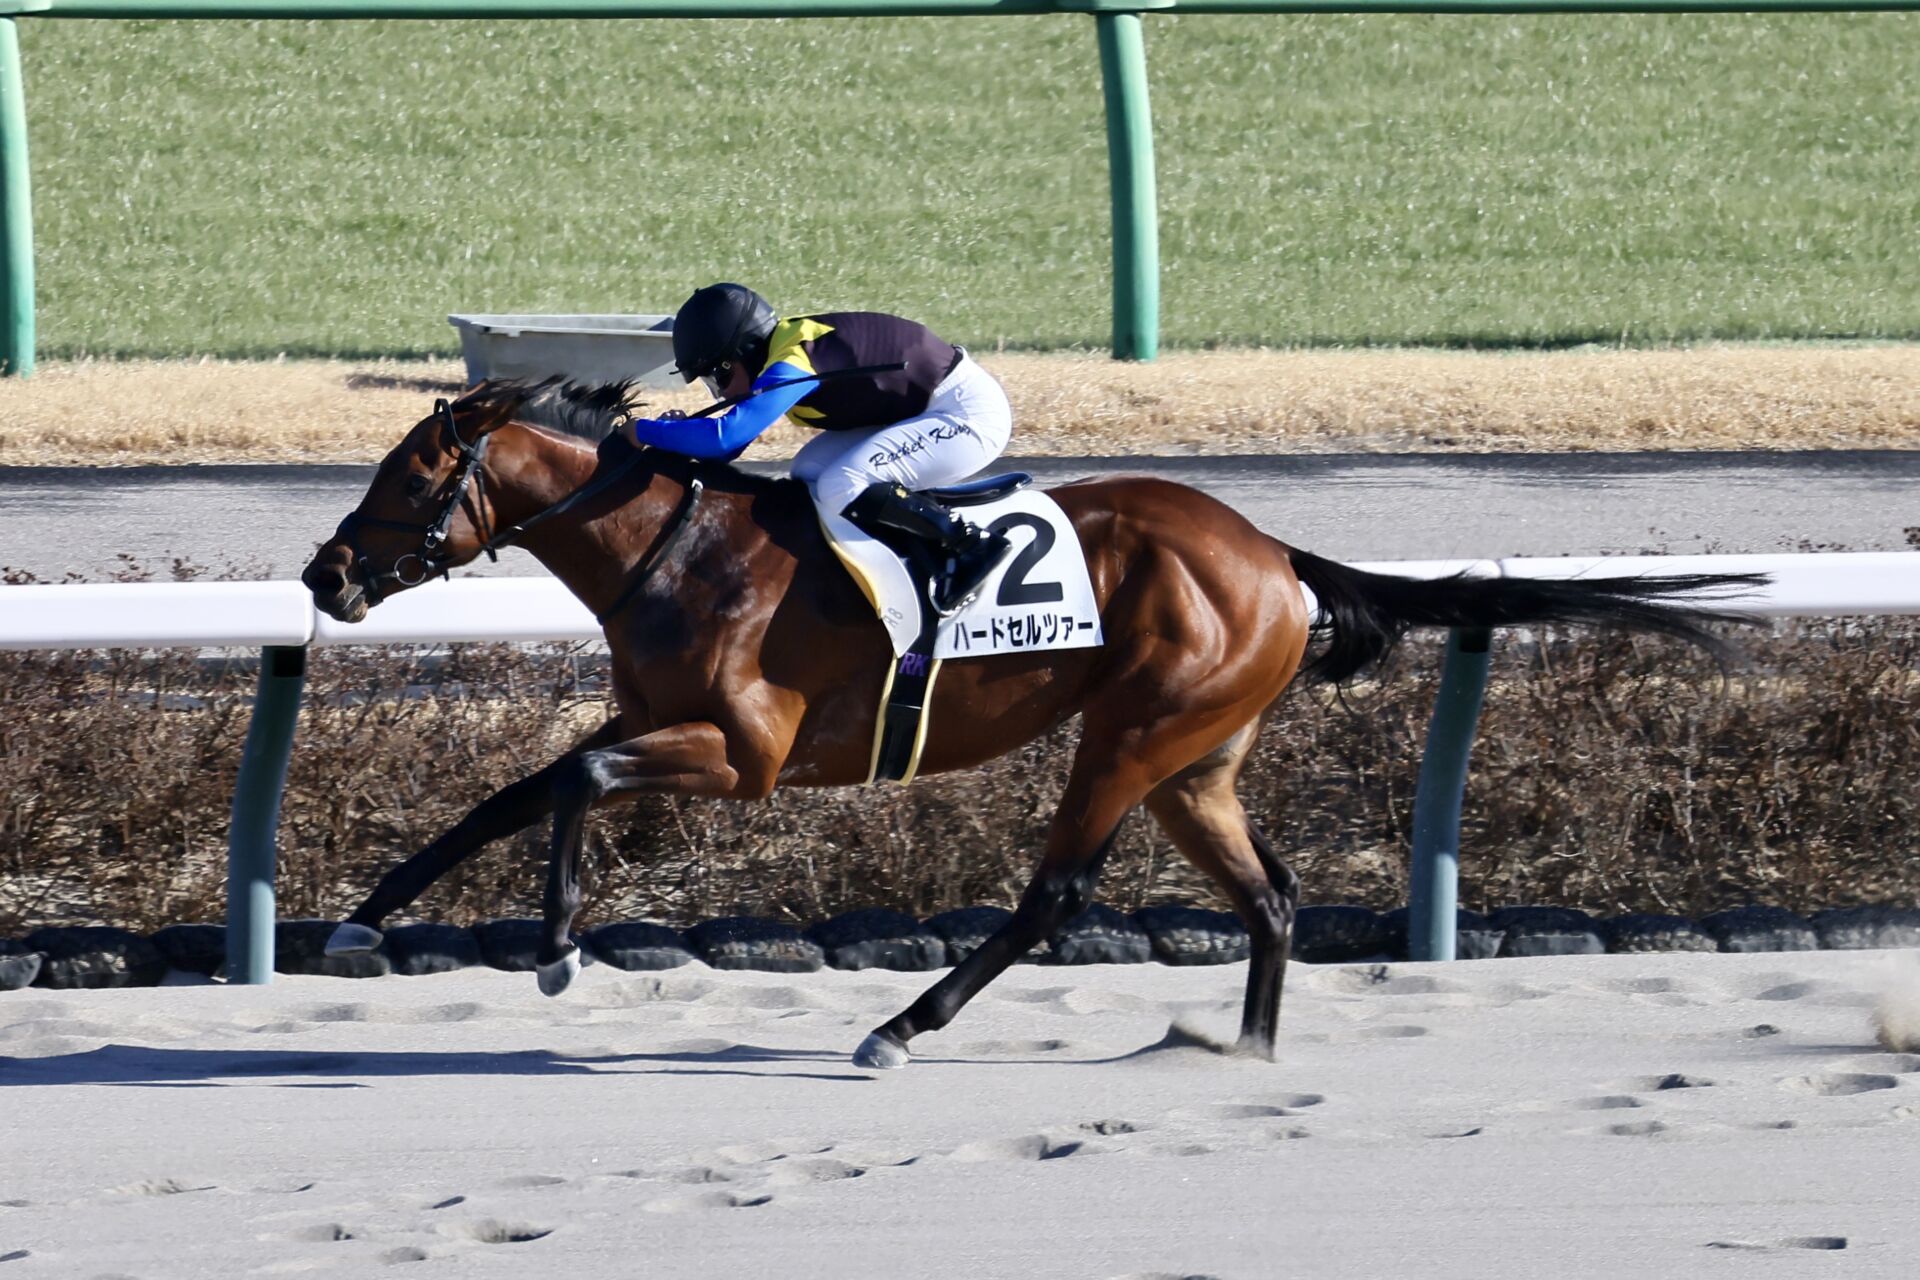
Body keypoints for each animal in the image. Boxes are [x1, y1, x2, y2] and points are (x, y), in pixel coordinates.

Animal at [301, 379, 1759, 1069]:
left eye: (412, 476)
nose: (327, 574)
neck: (683, 547)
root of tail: (1272, 553)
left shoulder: (750, 756)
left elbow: (581, 779)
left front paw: (554, 949)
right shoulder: (655, 713)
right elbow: (516, 789)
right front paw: (361, 920)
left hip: (1133, 734)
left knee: (1058, 893)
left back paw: (901, 1026)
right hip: (1193, 760)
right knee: (1272, 896)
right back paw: (1246, 1053)